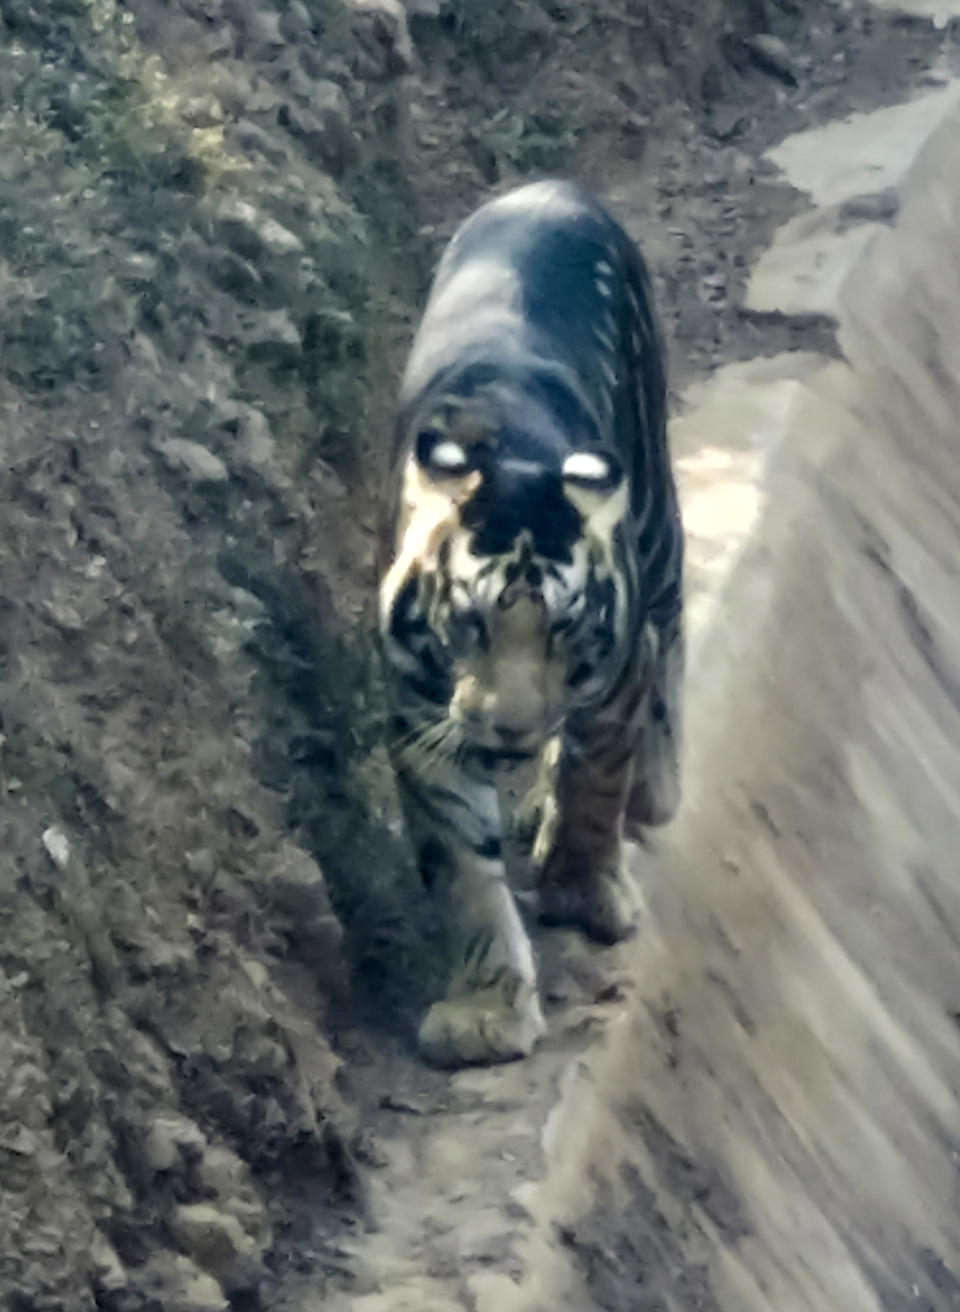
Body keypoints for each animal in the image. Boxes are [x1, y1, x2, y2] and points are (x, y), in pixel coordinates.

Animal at [375, 182, 681, 1065]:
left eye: (566, 631)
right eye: (470, 623)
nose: (511, 729)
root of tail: (552, 187)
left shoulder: (616, 676)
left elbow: (593, 780)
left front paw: (583, 890)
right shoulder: (421, 715)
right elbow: (464, 872)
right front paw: (484, 1013)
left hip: (659, 519)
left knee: (674, 630)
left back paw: (658, 787)